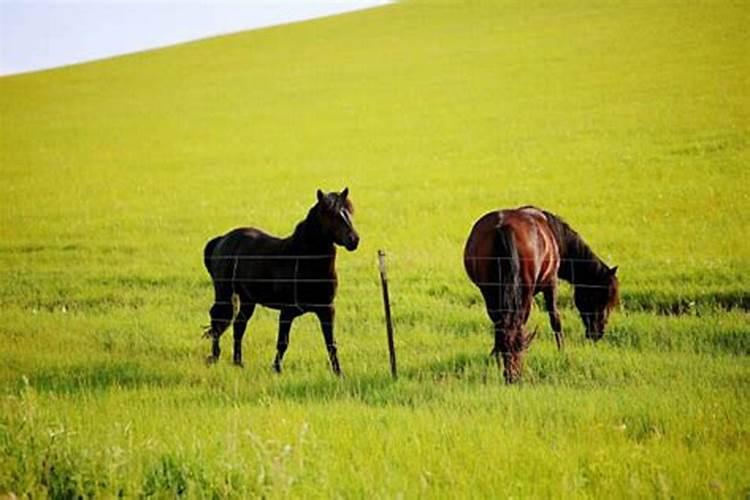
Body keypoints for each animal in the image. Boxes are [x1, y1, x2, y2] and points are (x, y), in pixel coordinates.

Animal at [203, 188, 362, 376]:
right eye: (330, 214)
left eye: (349, 212)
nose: (354, 240)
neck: (303, 261)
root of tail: (222, 239)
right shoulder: (287, 312)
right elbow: (282, 343)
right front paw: (276, 370)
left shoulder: (327, 310)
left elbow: (331, 344)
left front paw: (339, 374)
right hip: (224, 293)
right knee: (218, 319)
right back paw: (215, 357)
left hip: (248, 299)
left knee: (239, 324)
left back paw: (238, 362)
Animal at [468, 206, 620, 382]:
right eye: (601, 299)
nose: (598, 333)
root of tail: (503, 227)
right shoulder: (551, 282)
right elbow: (555, 320)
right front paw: (562, 352)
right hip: (524, 292)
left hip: (490, 291)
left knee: (503, 325)